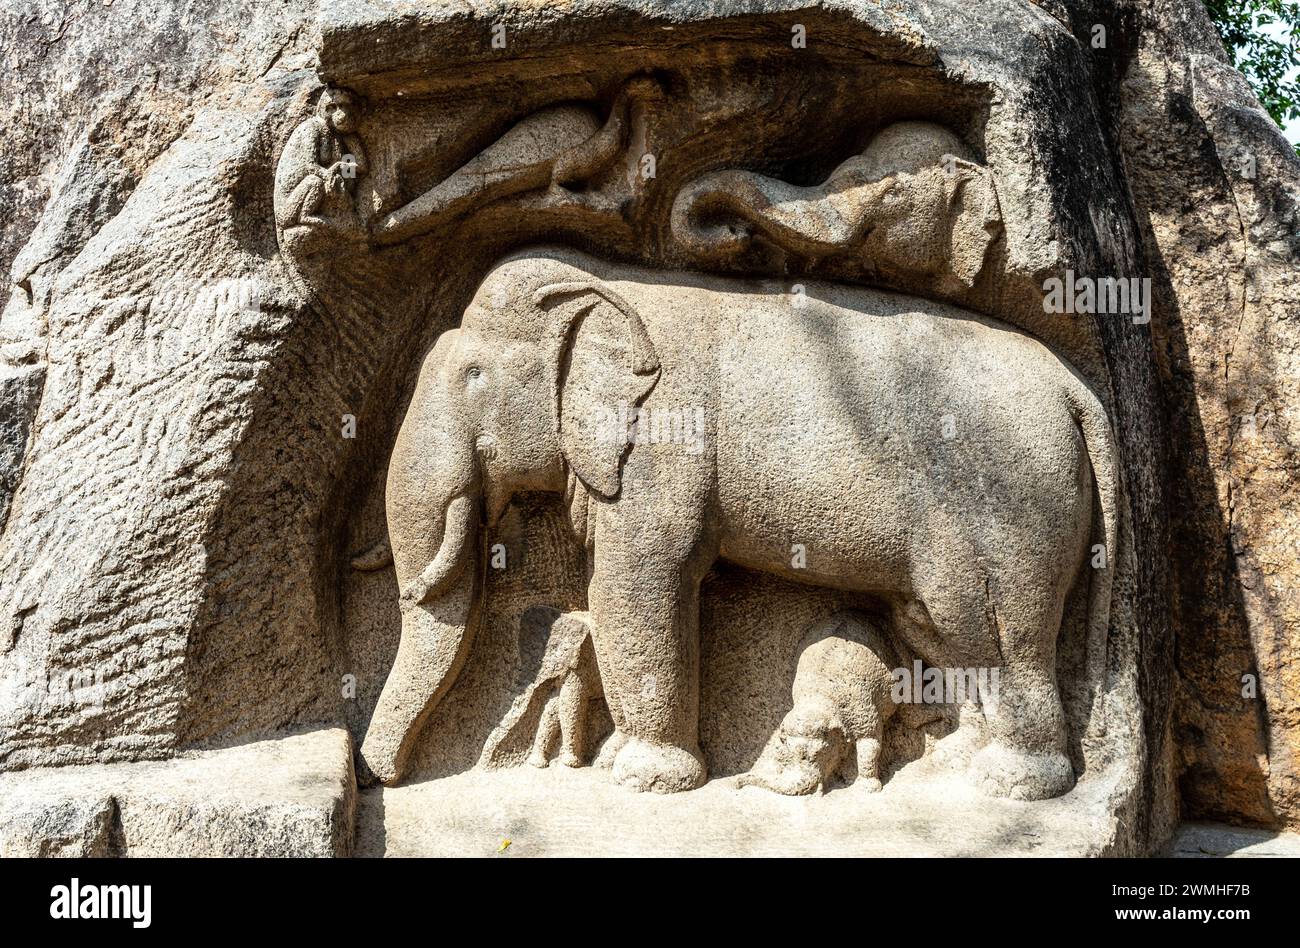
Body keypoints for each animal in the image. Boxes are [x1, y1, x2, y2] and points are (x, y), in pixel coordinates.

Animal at [738, 613, 899, 790]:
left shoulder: (861, 709)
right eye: (789, 752)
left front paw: (868, 787)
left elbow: (870, 743)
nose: (738, 783)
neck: (820, 696)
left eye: (819, 755)